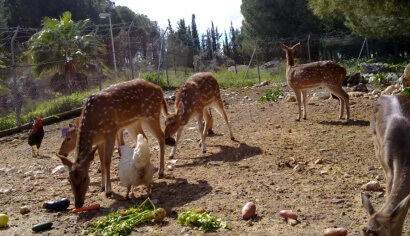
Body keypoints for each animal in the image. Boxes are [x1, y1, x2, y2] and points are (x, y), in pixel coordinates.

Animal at [57, 79, 170, 208]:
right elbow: (101, 160)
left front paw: (108, 191)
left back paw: (161, 172)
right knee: (144, 138)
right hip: (134, 123)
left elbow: (107, 161)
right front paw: (102, 186)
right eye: (69, 179)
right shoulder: (100, 140)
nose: (78, 204)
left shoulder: (110, 131)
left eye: (85, 178)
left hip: (151, 114)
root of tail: (159, 88)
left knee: (161, 137)